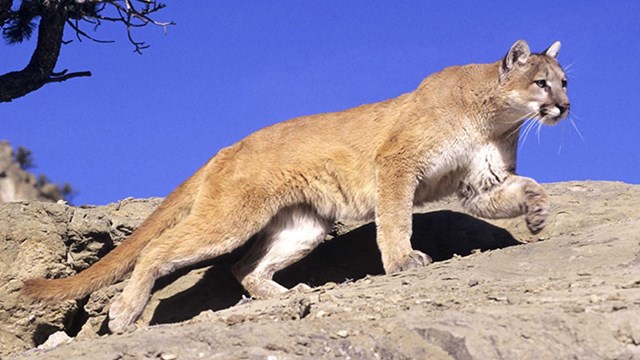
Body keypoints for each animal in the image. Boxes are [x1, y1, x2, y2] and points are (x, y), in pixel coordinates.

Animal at [21, 39, 568, 332]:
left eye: (566, 81)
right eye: (541, 82)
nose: (564, 106)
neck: (492, 118)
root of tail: (228, 147)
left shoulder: (480, 183)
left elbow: (524, 187)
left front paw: (539, 211)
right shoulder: (397, 163)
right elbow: (394, 218)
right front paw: (401, 262)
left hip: (303, 226)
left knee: (244, 266)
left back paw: (287, 295)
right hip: (233, 217)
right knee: (160, 250)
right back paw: (124, 313)